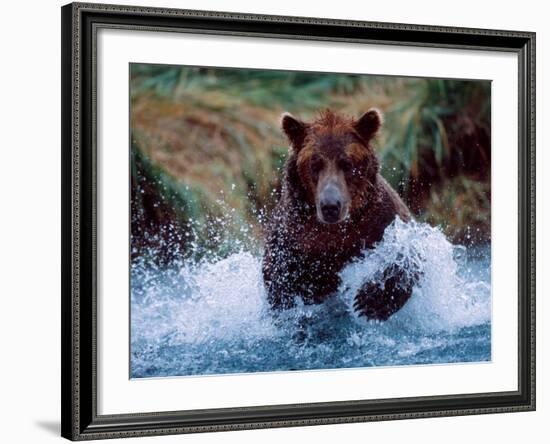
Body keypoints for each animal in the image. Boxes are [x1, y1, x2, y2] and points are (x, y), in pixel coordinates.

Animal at [264, 109, 418, 320]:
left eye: (347, 163)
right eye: (314, 164)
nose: (330, 205)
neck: (336, 231)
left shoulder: (381, 219)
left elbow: (408, 252)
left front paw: (370, 300)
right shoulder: (291, 237)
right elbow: (278, 278)